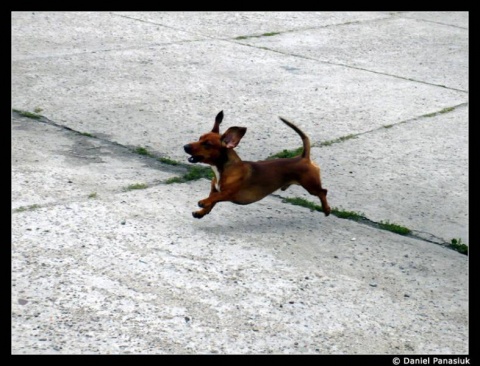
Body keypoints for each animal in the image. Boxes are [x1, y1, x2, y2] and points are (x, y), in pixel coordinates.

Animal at [184, 111, 330, 219]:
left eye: (207, 144)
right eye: (199, 138)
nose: (185, 146)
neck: (224, 170)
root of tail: (303, 157)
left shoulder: (227, 193)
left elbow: (214, 198)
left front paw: (203, 202)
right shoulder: (214, 189)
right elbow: (212, 200)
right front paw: (201, 212)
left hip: (311, 185)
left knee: (323, 192)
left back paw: (327, 209)